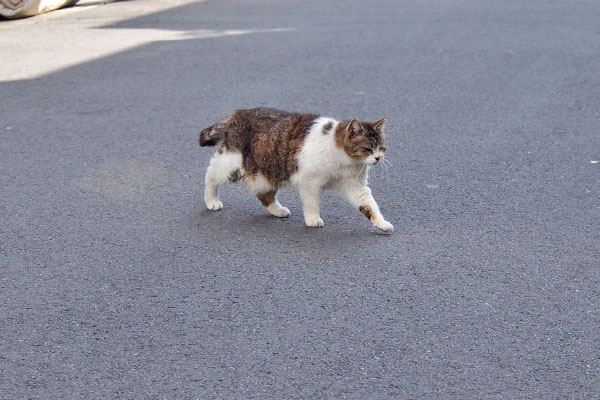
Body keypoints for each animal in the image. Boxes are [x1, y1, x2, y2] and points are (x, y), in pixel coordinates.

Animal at [198, 108, 394, 233]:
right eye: (368, 149)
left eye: (382, 148)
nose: (378, 158)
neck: (345, 161)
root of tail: (238, 112)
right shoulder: (309, 182)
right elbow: (312, 203)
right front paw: (313, 219)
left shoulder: (355, 185)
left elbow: (368, 205)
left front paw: (382, 224)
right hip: (231, 163)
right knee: (210, 175)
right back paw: (211, 201)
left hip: (266, 173)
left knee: (263, 194)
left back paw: (278, 210)